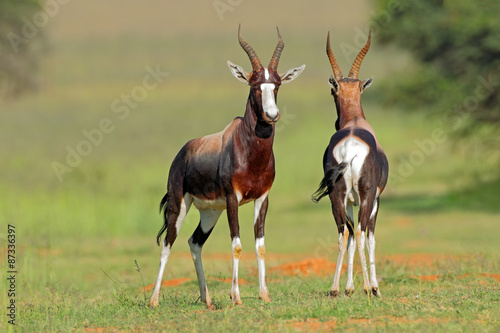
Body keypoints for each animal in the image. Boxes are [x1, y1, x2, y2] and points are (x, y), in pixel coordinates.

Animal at [148, 26, 304, 308]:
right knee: (167, 243)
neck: (249, 150)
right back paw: (153, 300)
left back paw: (207, 299)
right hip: (180, 204)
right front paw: (236, 297)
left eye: (276, 84)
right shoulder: (233, 198)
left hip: (210, 212)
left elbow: (260, 245)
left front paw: (265, 294)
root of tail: (183, 152)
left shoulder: (262, 198)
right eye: (255, 85)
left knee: (194, 242)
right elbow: (237, 245)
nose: (272, 115)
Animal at [312, 31, 390, 296]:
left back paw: (335, 288)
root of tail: (349, 149)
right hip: (365, 196)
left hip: (337, 196)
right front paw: (374, 286)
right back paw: (368, 287)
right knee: (360, 231)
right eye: (333, 92)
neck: (355, 121)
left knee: (344, 232)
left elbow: (352, 241)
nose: (337, 122)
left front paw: (348, 287)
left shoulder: (349, 201)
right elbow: (370, 238)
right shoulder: (375, 199)